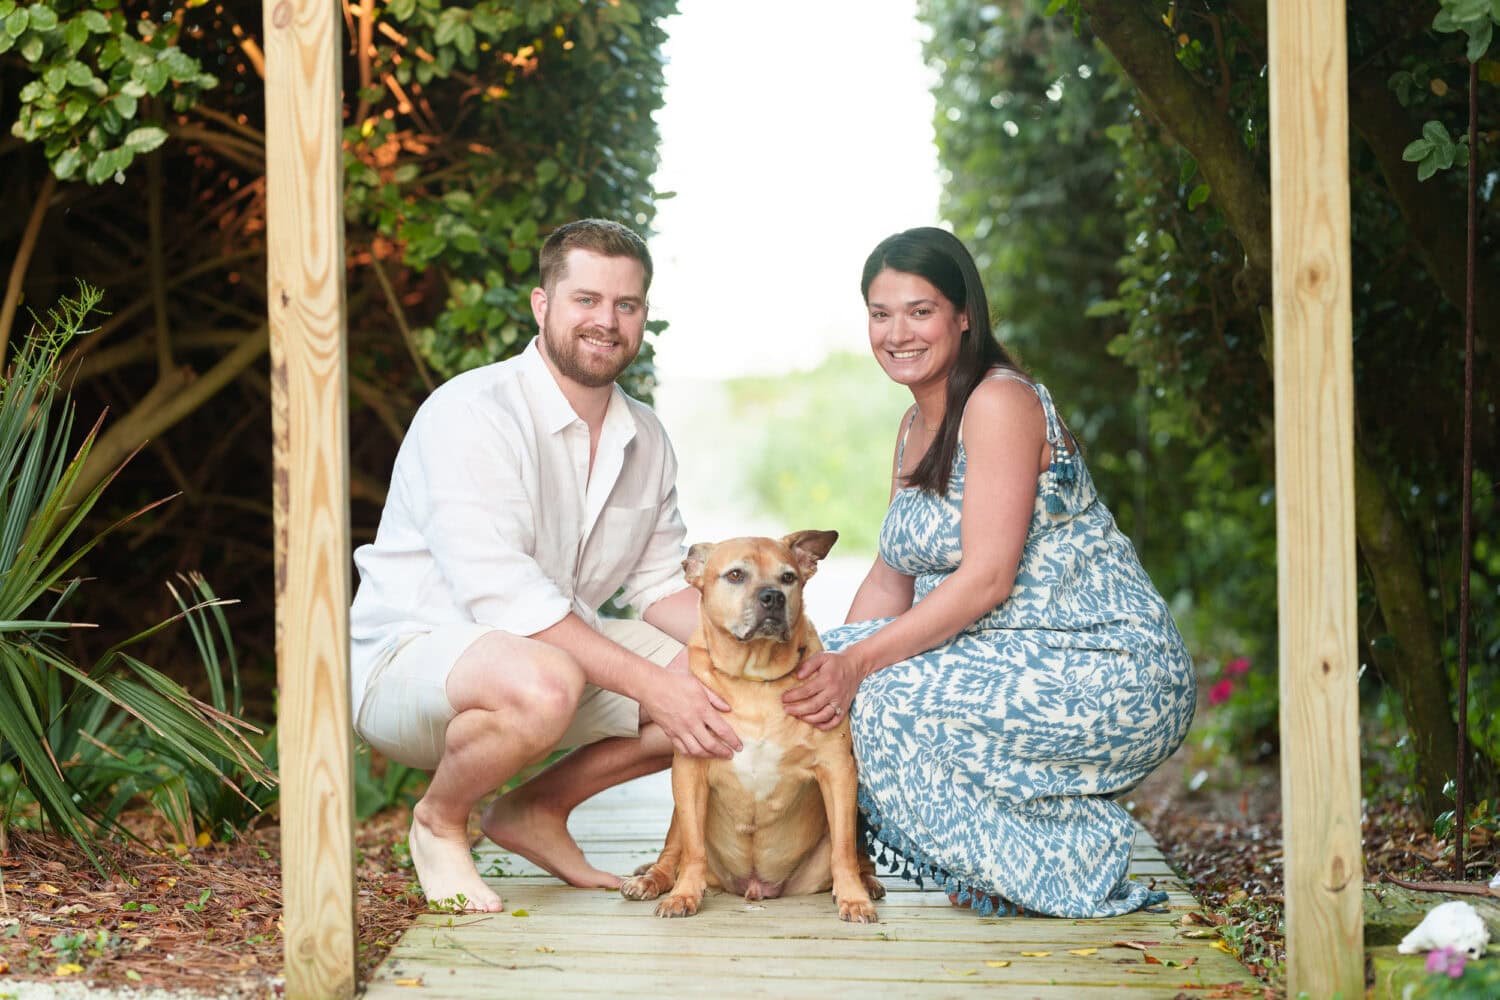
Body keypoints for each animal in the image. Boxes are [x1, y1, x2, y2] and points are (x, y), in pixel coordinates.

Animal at [618, 530, 876, 923]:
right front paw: (684, 894)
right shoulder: (689, 771)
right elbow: (692, 849)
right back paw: (653, 880)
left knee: (857, 854)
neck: (755, 678)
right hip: (679, 811)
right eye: (736, 575)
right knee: (673, 851)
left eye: (788, 577)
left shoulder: (838, 770)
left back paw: (870, 883)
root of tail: (756, 886)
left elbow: (843, 849)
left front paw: (853, 898)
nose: (773, 597)